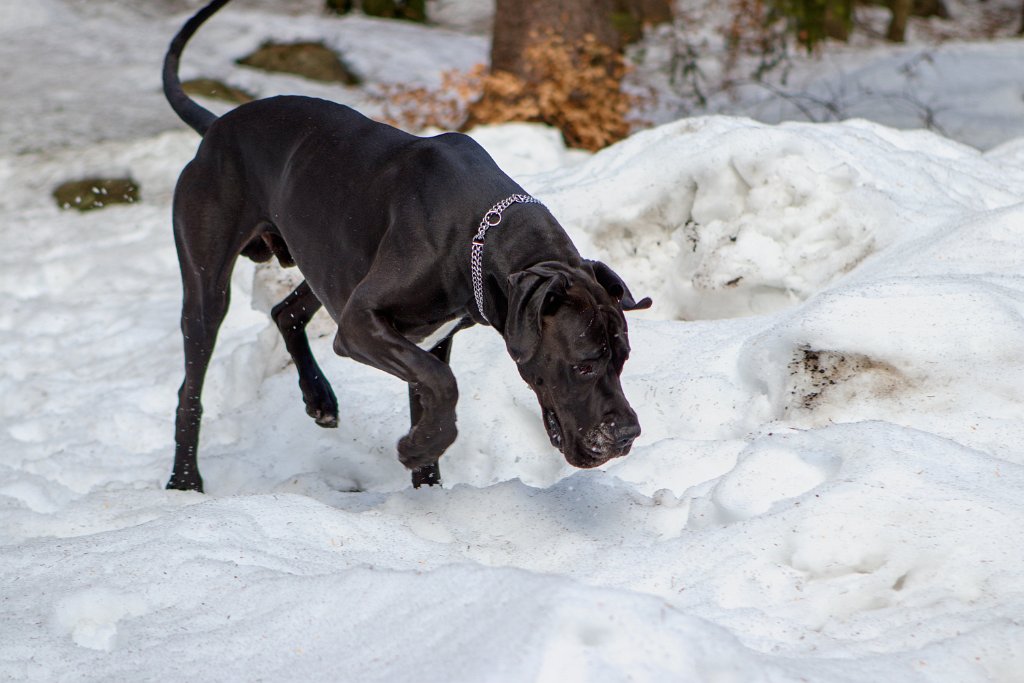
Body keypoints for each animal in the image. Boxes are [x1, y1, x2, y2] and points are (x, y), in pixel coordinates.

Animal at [163, 0, 651, 491]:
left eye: (623, 359)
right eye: (584, 364)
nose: (627, 434)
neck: (480, 233)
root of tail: (216, 128)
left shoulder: (422, 340)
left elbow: (430, 390)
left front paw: (427, 485)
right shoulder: (361, 323)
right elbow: (444, 383)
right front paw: (420, 446)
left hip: (326, 266)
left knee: (286, 312)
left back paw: (319, 398)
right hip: (209, 288)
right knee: (190, 386)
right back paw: (184, 481)